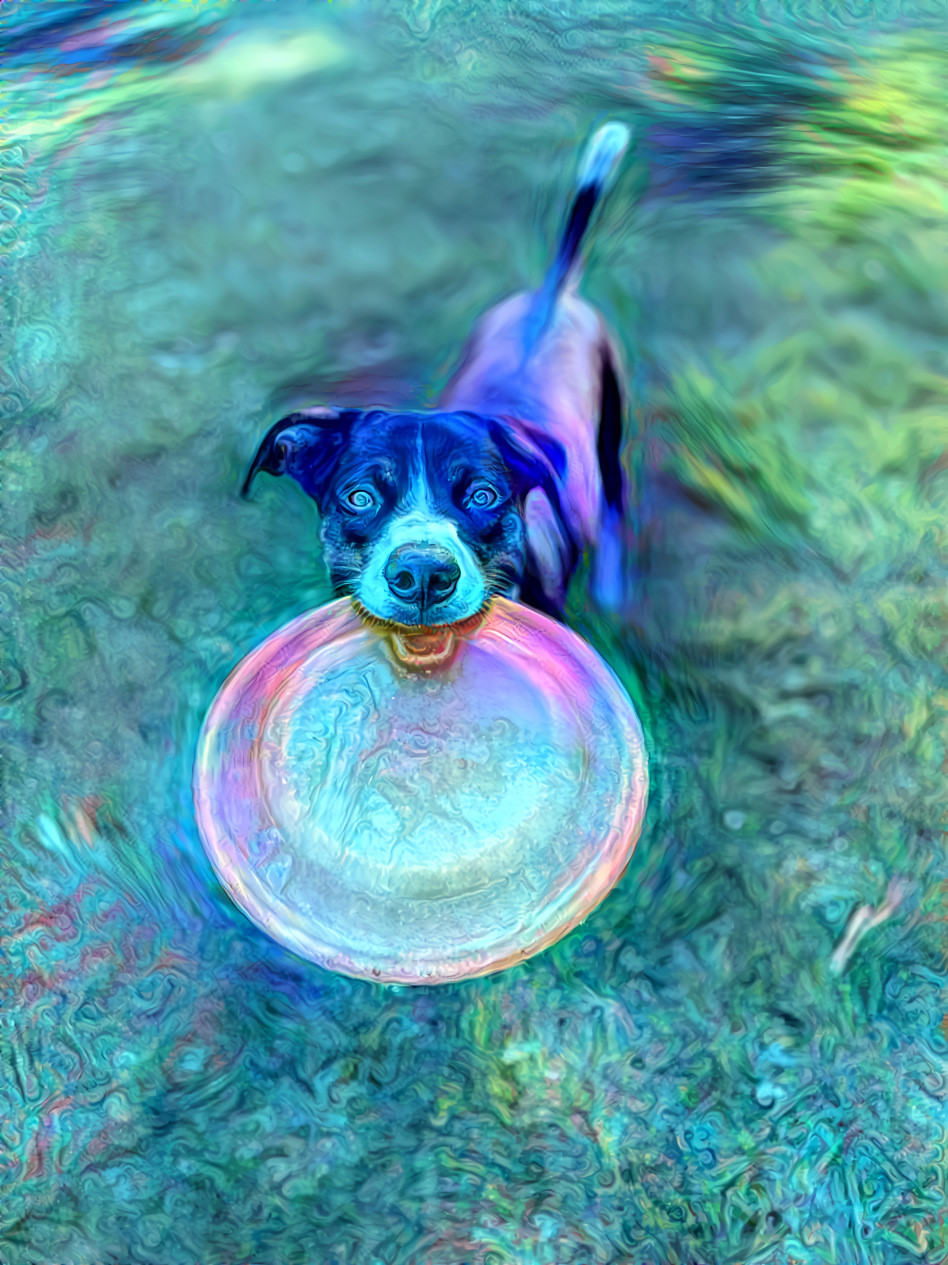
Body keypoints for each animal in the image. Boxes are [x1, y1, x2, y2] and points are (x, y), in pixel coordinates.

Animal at [240, 122, 632, 632]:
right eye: (360, 497)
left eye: (483, 496)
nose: (423, 573)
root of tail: (551, 294)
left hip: (611, 421)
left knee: (616, 498)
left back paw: (611, 585)